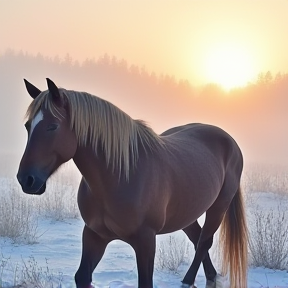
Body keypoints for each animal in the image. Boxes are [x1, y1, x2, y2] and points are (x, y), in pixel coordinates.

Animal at [16, 79, 249, 288]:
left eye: (53, 126)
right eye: (27, 126)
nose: (26, 179)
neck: (119, 178)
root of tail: (228, 140)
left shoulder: (145, 241)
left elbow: (145, 282)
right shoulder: (94, 235)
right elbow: (82, 277)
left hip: (219, 206)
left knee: (204, 242)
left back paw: (188, 281)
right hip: (186, 212)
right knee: (197, 238)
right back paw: (208, 277)